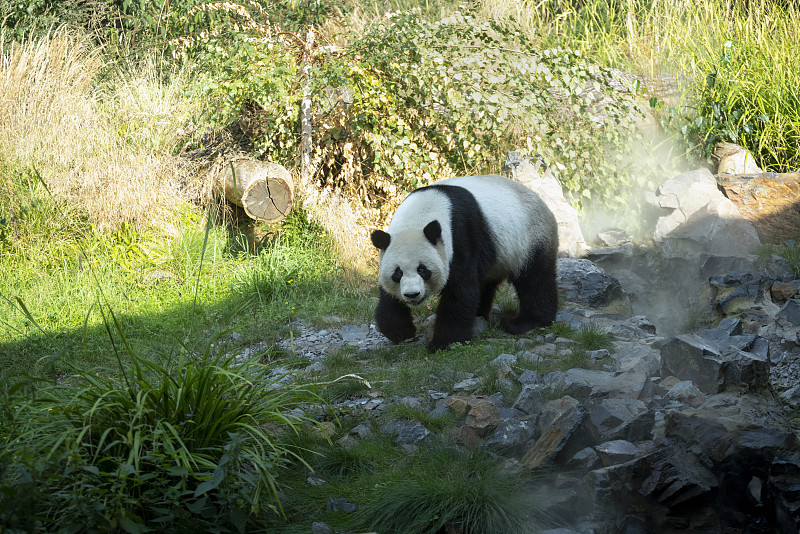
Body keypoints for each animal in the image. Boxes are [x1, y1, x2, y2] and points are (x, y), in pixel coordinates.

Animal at [372, 174, 560, 354]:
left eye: (422, 270)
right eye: (398, 273)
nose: (412, 294)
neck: (419, 215)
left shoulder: (461, 235)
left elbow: (461, 291)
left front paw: (443, 344)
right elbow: (388, 296)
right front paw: (401, 331)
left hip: (530, 237)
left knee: (535, 280)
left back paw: (526, 322)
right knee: (486, 284)